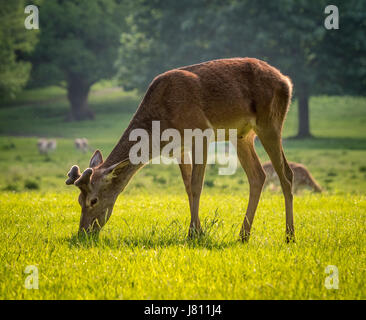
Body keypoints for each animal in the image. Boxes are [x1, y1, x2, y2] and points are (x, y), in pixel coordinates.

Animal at [66, 58, 294, 242]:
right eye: (78, 200)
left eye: (93, 200)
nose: (83, 233)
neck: (162, 125)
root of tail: (286, 81)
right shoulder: (179, 149)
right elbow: (187, 187)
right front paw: (199, 231)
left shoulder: (202, 133)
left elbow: (196, 186)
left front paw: (193, 234)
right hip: (242, 135)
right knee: (258, 175)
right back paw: (243, 235)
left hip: (270, 122)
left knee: (286, 174)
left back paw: (289, 235)